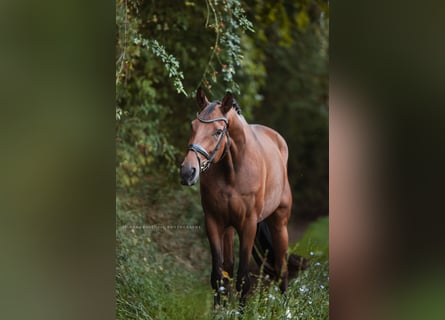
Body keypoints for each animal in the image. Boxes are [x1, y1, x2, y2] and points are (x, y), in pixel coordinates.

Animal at [179, 87, 294, 304]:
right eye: (192, 126)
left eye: (218, 131)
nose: (187, 172)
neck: (232, 172)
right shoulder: (214, 222)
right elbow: (218, 276)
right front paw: (219, 309)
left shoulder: (248, 225)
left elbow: (243, 279)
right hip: (229, 229)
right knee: (228, 268)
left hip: (279, 224)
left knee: (282, 267)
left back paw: (285, 306)